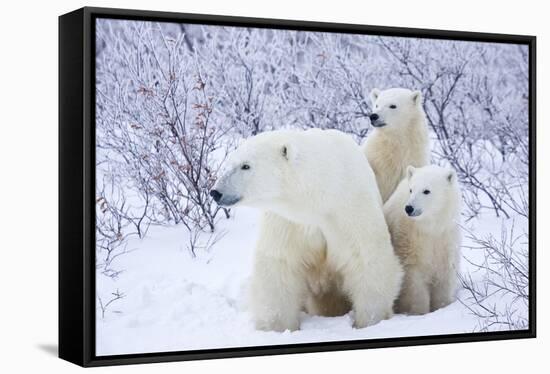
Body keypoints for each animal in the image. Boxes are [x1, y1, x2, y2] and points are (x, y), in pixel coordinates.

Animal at [213, 129, 404, 330]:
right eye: (229, 162)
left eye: (246, 166)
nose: (216, 192)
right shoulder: (288, 222)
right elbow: (279, 265)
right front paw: (276, 326)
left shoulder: (349, 210)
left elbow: (367, 259)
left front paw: (370, 321)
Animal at [386, 165, 464, 314]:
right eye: (411, 189)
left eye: (426, 191)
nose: (409, 208)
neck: (428, 226)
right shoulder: (408, 240)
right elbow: (414, 282)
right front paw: (420, 312)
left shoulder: (445, 239)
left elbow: (444, 275)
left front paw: (442, 306)